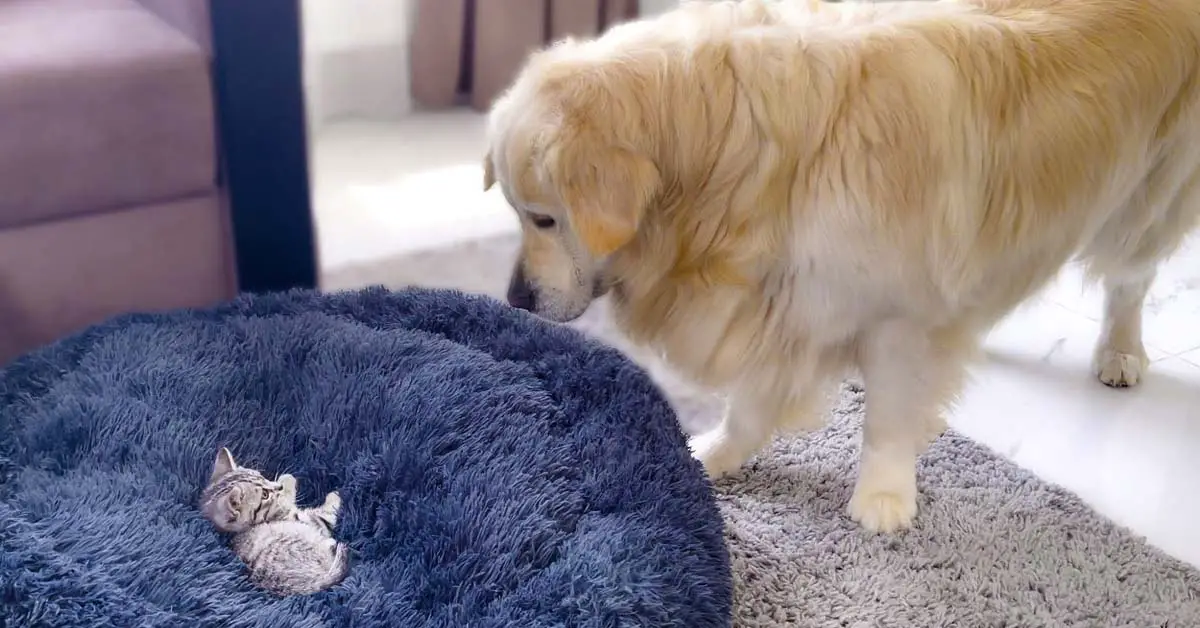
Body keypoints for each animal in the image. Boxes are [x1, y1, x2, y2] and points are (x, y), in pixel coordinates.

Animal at [199, 446, 350, 595]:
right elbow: (323, 515)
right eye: (265, 495)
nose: (278, 487)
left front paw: (285, 479)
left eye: (262, 476)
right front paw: (334, 495)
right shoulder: (302, 519)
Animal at [482, 0, 1200, 533]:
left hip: (1147, 198)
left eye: (544, 219)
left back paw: (1121, 351)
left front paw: (883, 497)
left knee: (1129, 281)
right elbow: (750, 405)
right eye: (517, 212)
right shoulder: (785, 300)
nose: (516, 299)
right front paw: (715, 453)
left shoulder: (897, 315)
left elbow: (886, 415)